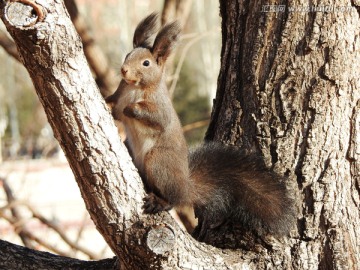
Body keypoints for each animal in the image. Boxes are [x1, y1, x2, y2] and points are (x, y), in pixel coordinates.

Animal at [105, 13, 296, 240]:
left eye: (146, 63)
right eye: (128, 54)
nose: (124, 70)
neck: (134, 87)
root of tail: (186, 186)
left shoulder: (160, 108)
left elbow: (154, 118)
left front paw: (131, 109)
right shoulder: (119, 95)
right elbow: (114, 106)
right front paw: (108, 103)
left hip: (159, 162)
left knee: (174, 200)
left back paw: (160, 201)